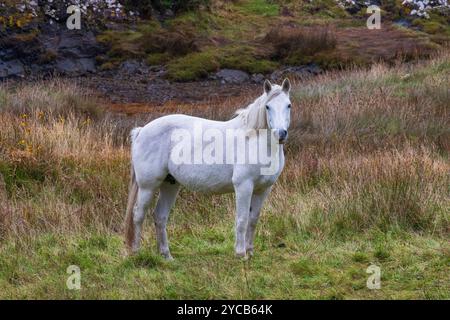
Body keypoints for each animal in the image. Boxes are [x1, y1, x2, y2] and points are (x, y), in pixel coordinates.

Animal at [125, 79, 292, 258]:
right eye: (268, 107)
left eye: (288, 105)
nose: (281, 134)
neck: (254, 141)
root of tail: (141, 131)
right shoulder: (244, 186)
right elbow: (242, 219)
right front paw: (241, 254)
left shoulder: (263, 189)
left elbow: (253, 219)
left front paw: (250, 251)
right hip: (147, 187)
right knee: (138, 214)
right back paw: (136, 252)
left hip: (170, 184)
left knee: (160, 216)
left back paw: (167, 256)